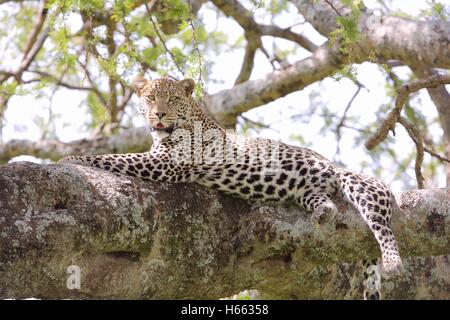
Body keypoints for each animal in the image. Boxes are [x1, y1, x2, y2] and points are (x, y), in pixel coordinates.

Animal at [59, 76, 404, 298]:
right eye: (150, 98)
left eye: (171, 98)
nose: (159, 113)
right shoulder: (159, 158)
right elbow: (115, 157)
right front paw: (70, 158)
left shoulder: (164, 163)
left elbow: (112, 158)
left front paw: (68, 158)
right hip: (307, 191)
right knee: (326, 201)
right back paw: (324, 211)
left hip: (358, 185)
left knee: (383, 227)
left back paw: (393, 263)